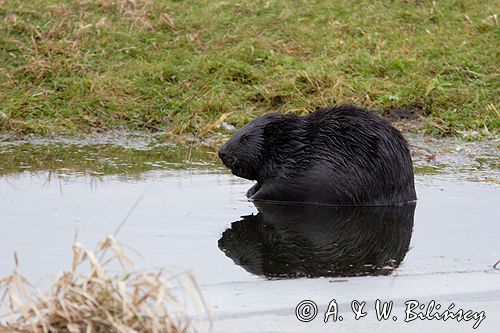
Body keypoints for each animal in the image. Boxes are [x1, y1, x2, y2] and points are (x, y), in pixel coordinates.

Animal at [217, 105, 416, 206]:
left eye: (244, 139)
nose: (221, 152)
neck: (294, 148)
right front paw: (250, 191)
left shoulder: (293, 173)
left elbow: (274, 188)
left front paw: (252, 196)